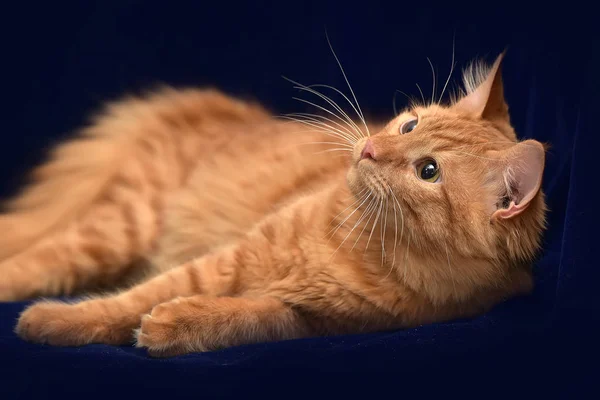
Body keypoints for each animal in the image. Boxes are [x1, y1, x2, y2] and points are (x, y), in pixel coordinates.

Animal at [0, 52, 548, 356]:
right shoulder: (230, 257)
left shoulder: (311, 318)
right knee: (35, 258)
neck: (361, 248)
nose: (370, 148)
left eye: (428, 171)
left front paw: (175, 325)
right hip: (119, 227)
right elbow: (131, 299)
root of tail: (214, 108)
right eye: (409, 124)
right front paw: (55, 322)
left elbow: (242, 318)